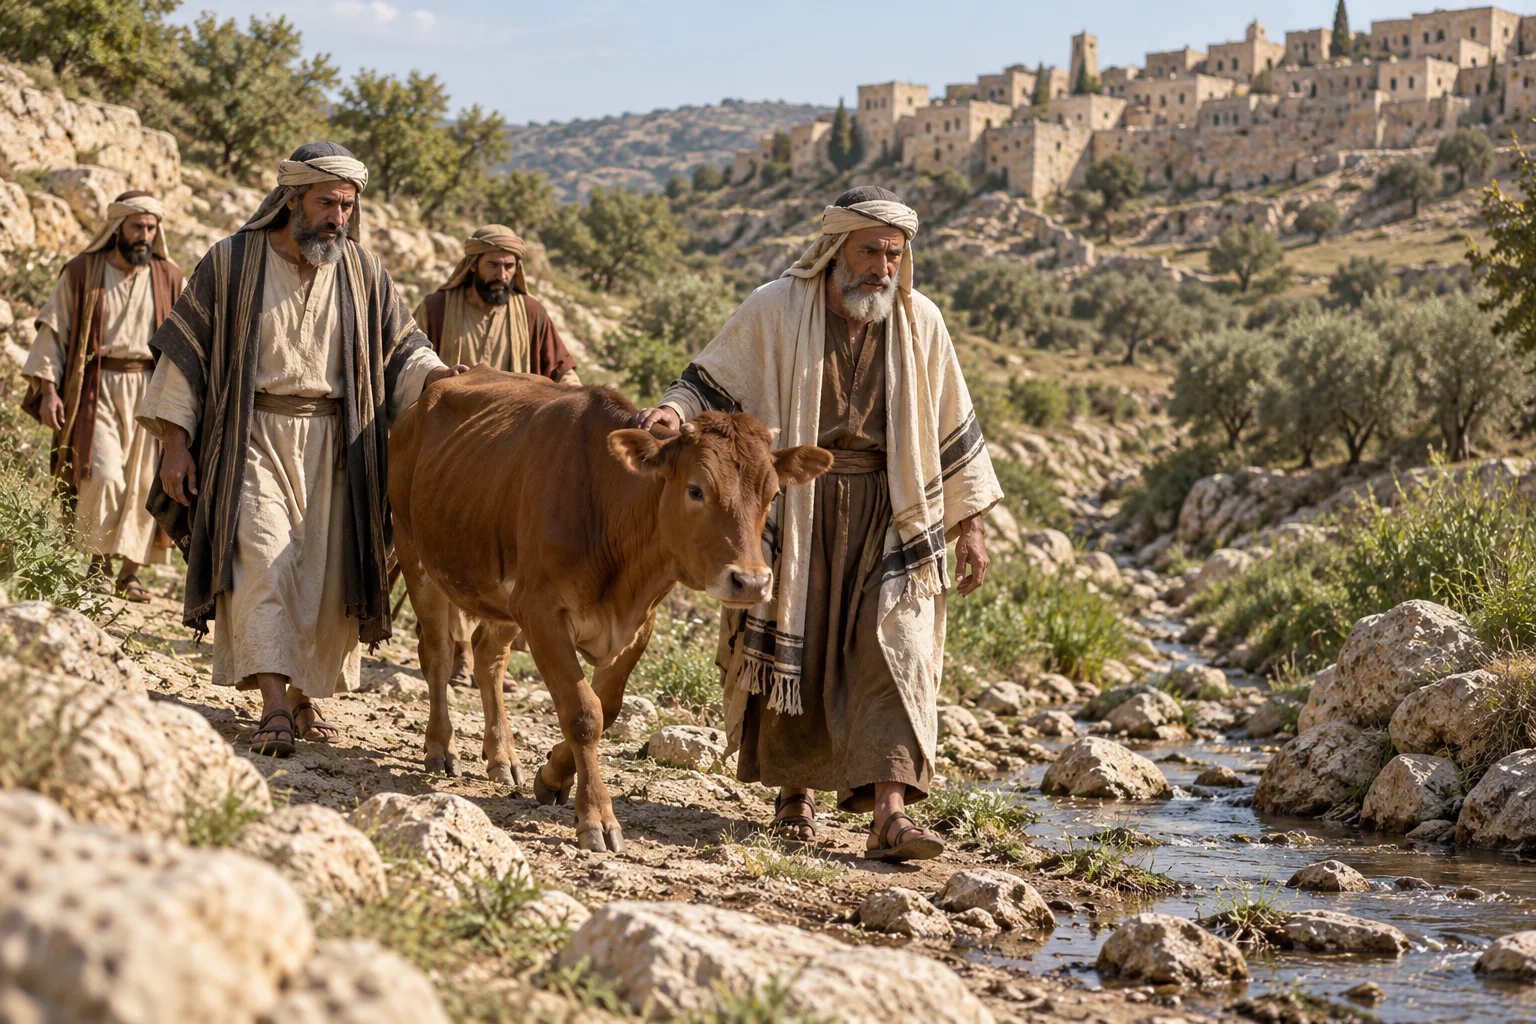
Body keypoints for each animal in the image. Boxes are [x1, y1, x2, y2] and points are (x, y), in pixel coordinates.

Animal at [388, 367, 831, 852]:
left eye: (771, 495)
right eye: (696, 489)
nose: (751, 581)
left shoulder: (636, 622)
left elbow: (609, 706)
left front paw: (552, 776)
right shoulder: (541, 611)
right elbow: (583, 713)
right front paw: (596, 817)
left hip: (500, 592)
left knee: (489, 657)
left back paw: (501, 755)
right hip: (416, 555)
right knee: (437, 655)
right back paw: (440, 748)